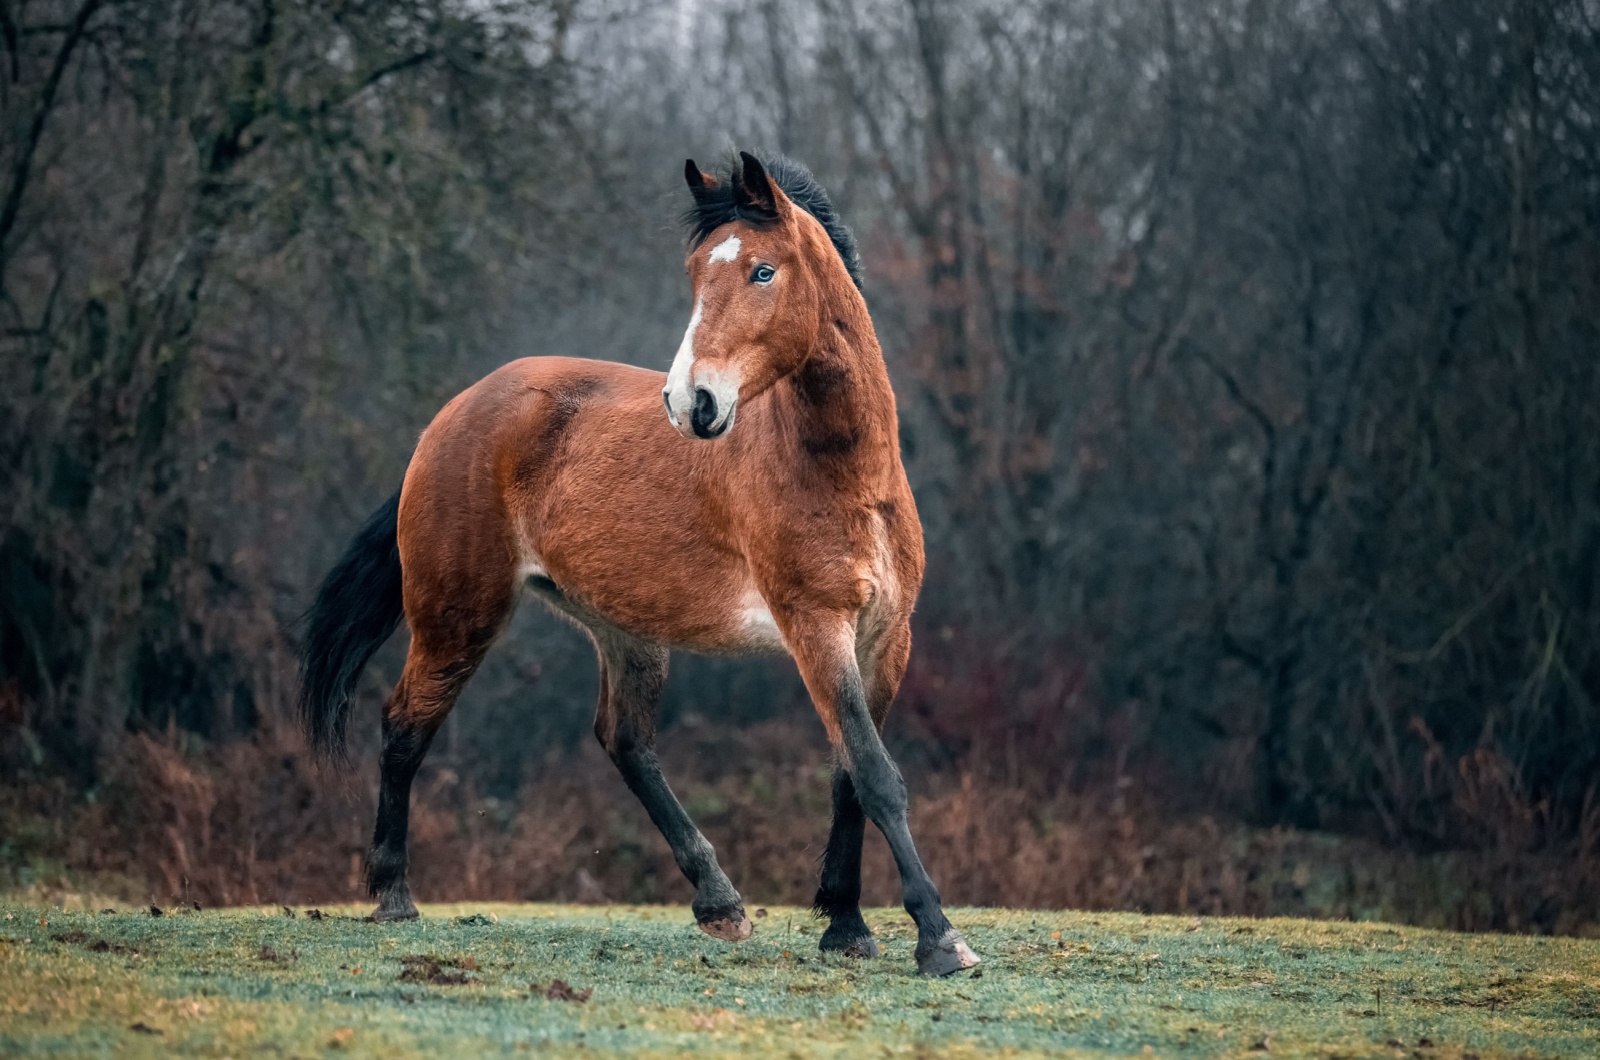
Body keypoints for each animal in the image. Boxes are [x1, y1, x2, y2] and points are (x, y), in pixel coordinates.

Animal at [294, 149, 979, 979]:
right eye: (694, 274)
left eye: (763, 271)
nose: (693, 403)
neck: (846, 474)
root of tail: (453, 417)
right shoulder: (816, 627)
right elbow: (876, 775)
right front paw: (939, 937)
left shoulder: (885, 638)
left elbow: (851, 774)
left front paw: (846, 926)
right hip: (458, 618)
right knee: (404, 725)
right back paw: (393, 894)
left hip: (626, 630)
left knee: (625, 742)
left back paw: (719, 902)